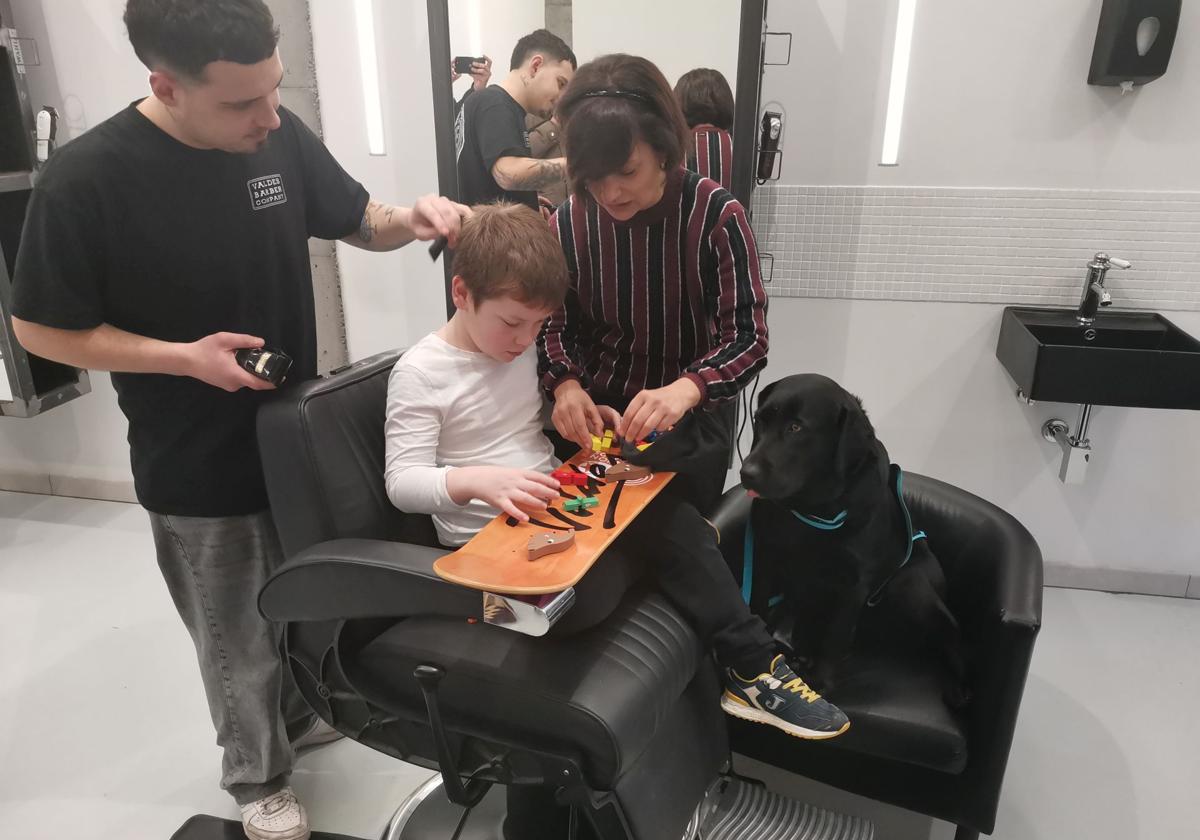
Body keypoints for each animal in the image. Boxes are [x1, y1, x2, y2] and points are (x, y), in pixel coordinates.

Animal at [734, 374, 969, 710]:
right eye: (759, 421)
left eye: (796, 428)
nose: (746, 473)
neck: (811, 509)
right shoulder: (765, 556)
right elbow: (757, 605)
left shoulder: (852, 583)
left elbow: (835, 636)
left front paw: (821, 681)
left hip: (908, 583)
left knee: (951, 635)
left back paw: (957, 685)